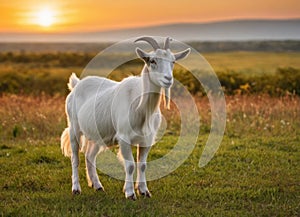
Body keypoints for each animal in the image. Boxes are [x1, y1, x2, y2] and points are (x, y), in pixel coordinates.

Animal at [61, 36, 191, 200]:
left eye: (173, 61)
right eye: (152, 61)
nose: (168, 79)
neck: (141, 107)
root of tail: (76, 84)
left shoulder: (147, 140)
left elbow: (142, 165)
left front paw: (144, 191)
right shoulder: (123, 137)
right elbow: (130, 165)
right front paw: (130, 193)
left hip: (97, 134)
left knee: (89, 156)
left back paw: (97, 186)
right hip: (74, 128)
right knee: (75, 158)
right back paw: (76, 189)